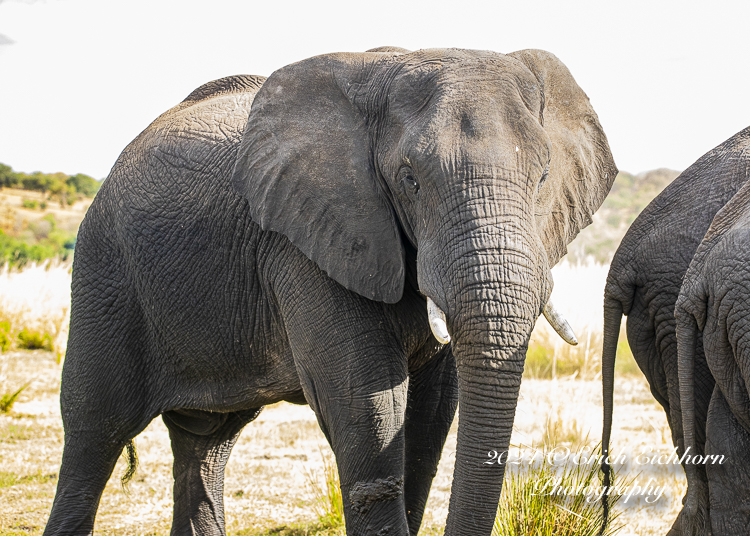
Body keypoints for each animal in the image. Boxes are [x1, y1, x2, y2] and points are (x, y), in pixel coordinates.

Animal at [47, 47, 620, 536]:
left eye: (542, 177)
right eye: (409, 180)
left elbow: (432, 416)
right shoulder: (305, 242)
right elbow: (367, 408)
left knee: (206, 441)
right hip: (106, 269)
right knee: (93, 430)